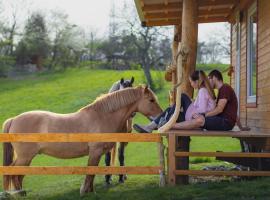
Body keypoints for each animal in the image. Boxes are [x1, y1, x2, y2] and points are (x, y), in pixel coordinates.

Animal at [2, 85, 162, 195]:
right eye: (151, 100)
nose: (160, 116)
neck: (101, 117)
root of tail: (14, 119)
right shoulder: (95, 152)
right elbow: (90, 173)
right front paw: (85, 191)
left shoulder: (98, 154)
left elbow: (92, 172)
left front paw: (90, 191)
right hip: (25, 157)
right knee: (13, 172)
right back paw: (19, 194)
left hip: (27, 158)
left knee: (19, 175)